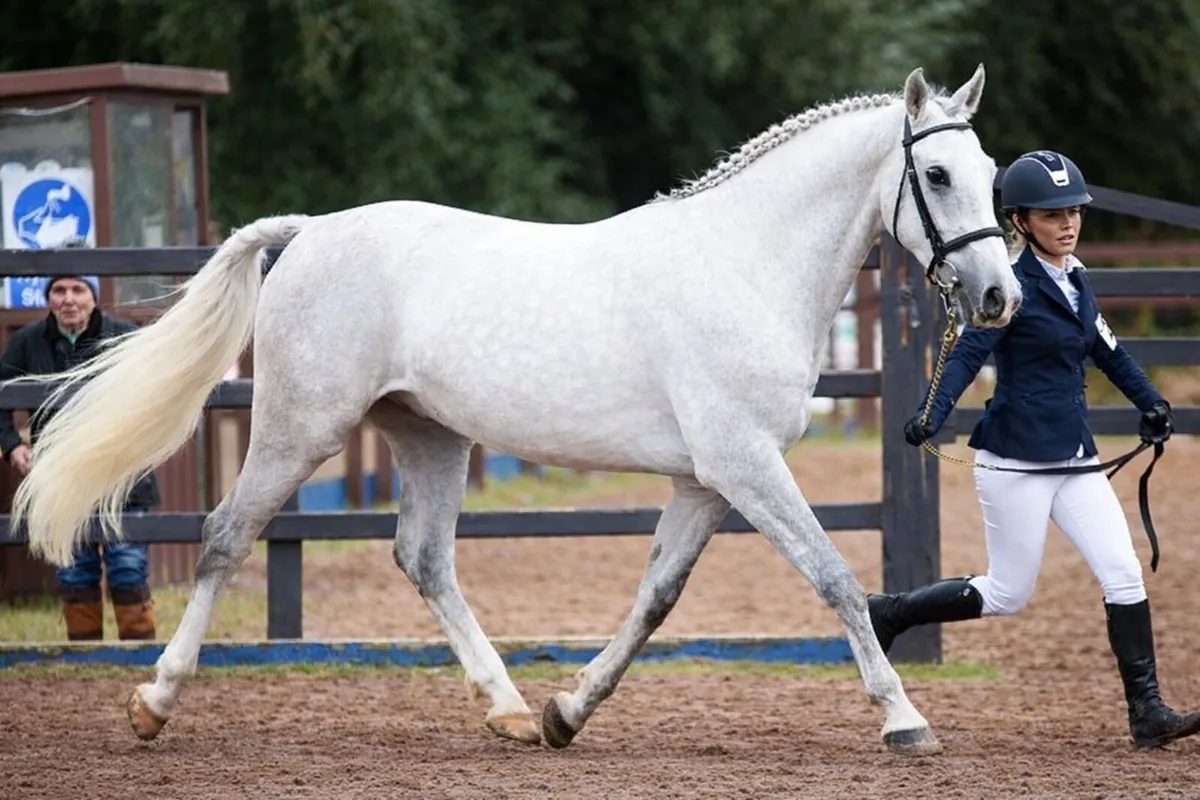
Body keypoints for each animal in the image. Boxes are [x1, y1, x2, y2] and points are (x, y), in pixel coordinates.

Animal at [12, 64, 1021, 757]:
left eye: (990, 168)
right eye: (935, 176)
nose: (1000, 297)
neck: (744, 264)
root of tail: (311, 232)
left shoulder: (706, 482)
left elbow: (654, 599)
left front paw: (567, 712)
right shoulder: (745, 465)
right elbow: (836, 579)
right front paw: (904, 720)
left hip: (430, 436)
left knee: (424, 559)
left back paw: (506, 711)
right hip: (302, 426)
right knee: (226, 535)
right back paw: (153, 702)